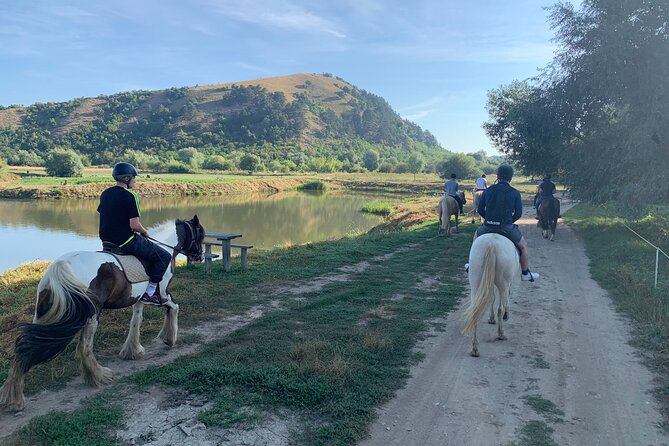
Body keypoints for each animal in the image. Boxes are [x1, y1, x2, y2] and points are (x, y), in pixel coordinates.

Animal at [0, 215, 205, 411]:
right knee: (84, 347)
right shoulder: (162, 294)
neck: (164, 247)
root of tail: (58, 268)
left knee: (26, 347)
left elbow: (136, 321)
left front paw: (133, 350)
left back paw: (13, 397)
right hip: (91, 315)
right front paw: (169, 338)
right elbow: (174, 308)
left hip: (43, 314)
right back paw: (99, 376)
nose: (199, 256)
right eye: (200, 235)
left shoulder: (139, 299)